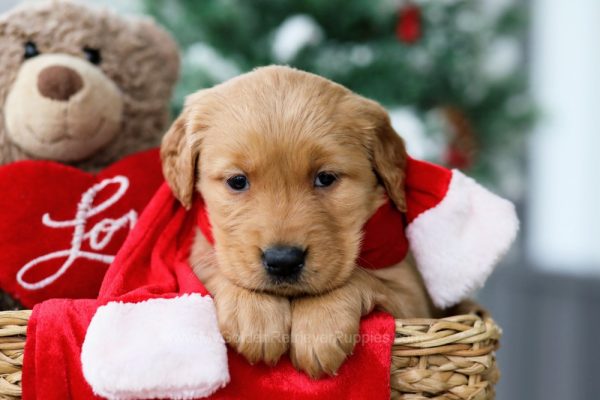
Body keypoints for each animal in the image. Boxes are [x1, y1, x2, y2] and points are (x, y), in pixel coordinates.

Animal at [162, 66, 434, 378]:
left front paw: (320, 327)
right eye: (237, 181)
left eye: (325, 178)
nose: (283, 261)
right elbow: (214, 266)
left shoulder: (414, 300)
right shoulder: (198, 253)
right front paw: (254, 312)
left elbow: (361, 277)